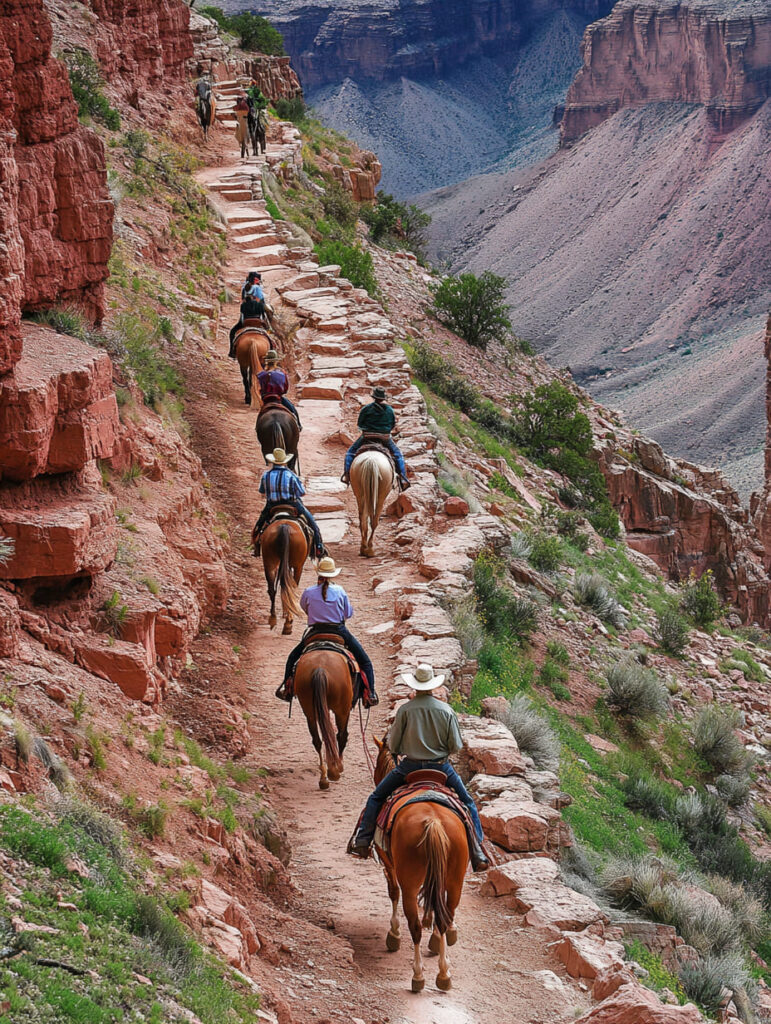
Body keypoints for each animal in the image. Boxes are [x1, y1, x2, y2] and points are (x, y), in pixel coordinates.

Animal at [292, 647, 354, 790]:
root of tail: (320, 668)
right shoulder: (344, 710)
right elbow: (341, 736)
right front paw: (339, 766)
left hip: (309, 709)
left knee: (318, 740)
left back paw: (324, 778)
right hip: (342, 709)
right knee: (341, 736)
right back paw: (335, 770)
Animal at [370, 737, 466, 991]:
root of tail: (433, 822)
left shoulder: (389, 865)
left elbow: (393, 892)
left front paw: (394, 933)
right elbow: (432, 899)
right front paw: (432, 925)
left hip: (410, 884)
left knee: (413, 925)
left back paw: (418, 975)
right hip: (455, 880)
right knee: (446, 916)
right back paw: (443, 973)